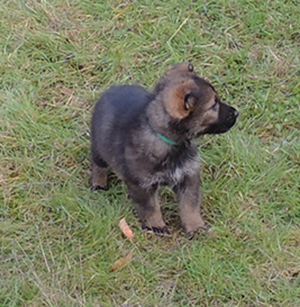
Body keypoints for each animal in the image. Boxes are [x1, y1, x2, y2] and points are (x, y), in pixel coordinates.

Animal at [89, 62, 239, 236]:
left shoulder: (189, 175)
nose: (237, 112)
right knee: (98, 164)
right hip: (98, 146)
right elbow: (150, 208)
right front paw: (156, 226)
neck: (169, 141)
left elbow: (190, 206)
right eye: (214, 105)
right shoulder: (141, 184)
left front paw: (196, 227)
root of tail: (110, 91)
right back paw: (98, 183)